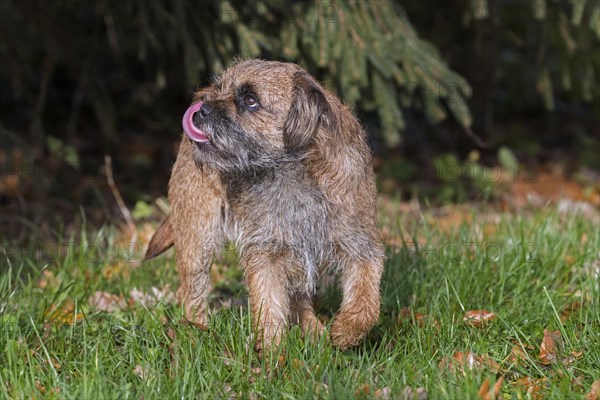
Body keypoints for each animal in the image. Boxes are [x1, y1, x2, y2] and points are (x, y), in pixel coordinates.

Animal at [145, 59, 384, 350]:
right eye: (221, 88)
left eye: (251, 100)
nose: (201, 109)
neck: (293, 174)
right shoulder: (265, 252)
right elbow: (268, 303)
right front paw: (271, 350)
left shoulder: (360, 243)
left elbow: (367, 295)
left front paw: (347, 331)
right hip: (197, 236)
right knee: (192, 291)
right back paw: (195, 331)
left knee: (299, 296)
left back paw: (312, 329)